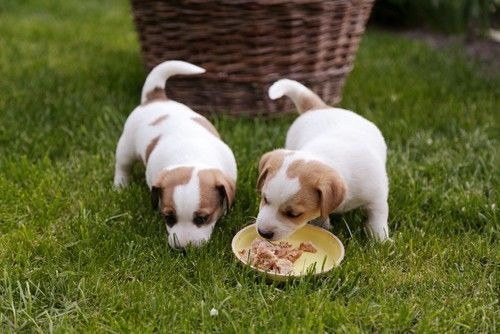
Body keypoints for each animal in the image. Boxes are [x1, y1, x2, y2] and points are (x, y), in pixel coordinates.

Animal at [114, 60, 237, 248]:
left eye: (202, 219)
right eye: (169, 218)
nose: (183, 249)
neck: (192, 155)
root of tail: (156, 97)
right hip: (126, 147)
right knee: (123, 166)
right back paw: (120, 185)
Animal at [256, 79, 388, 241]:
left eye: (293, 214)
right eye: (265, 199)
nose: (263, 233)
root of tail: (319, 107)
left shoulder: (378, 197)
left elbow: (377, 220)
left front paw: (381, 240)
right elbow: (321, 215)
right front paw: (324, 227)